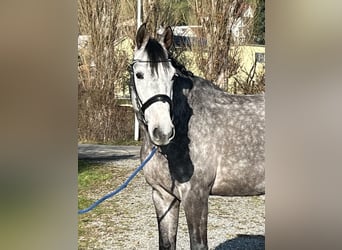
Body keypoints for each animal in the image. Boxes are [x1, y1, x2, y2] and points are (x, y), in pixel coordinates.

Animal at [130, 23, 266, 248]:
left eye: (172, 76)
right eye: (139, 75)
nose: (163, 131)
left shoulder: (195, 196)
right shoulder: (162, 196)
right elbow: (166, 243)